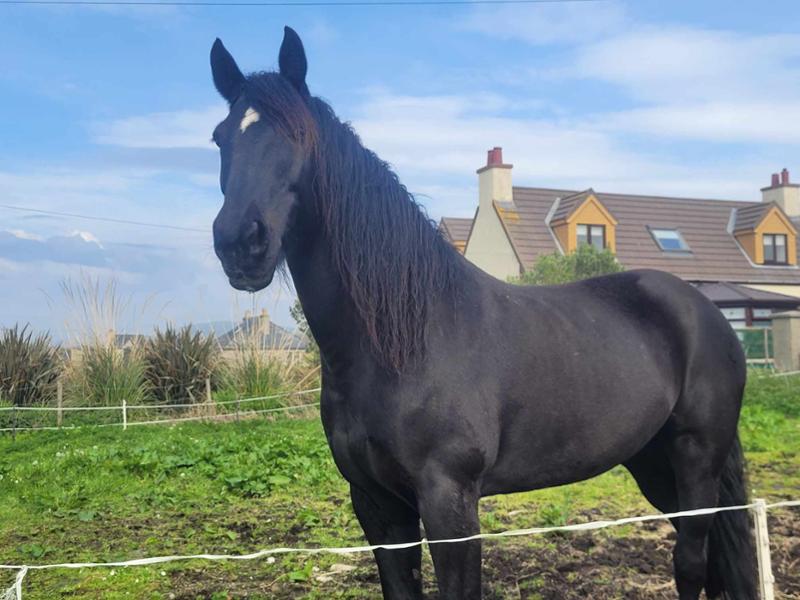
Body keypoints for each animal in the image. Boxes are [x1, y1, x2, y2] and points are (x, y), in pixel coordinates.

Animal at [208, 27, 757, 599]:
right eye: (220, 138)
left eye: (300, 136)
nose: (240, 243)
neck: (404, 342)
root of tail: (704, 311)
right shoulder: (376, 505)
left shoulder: (450, 502)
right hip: (652, 462)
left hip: (697, 460)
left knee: (691, 562)